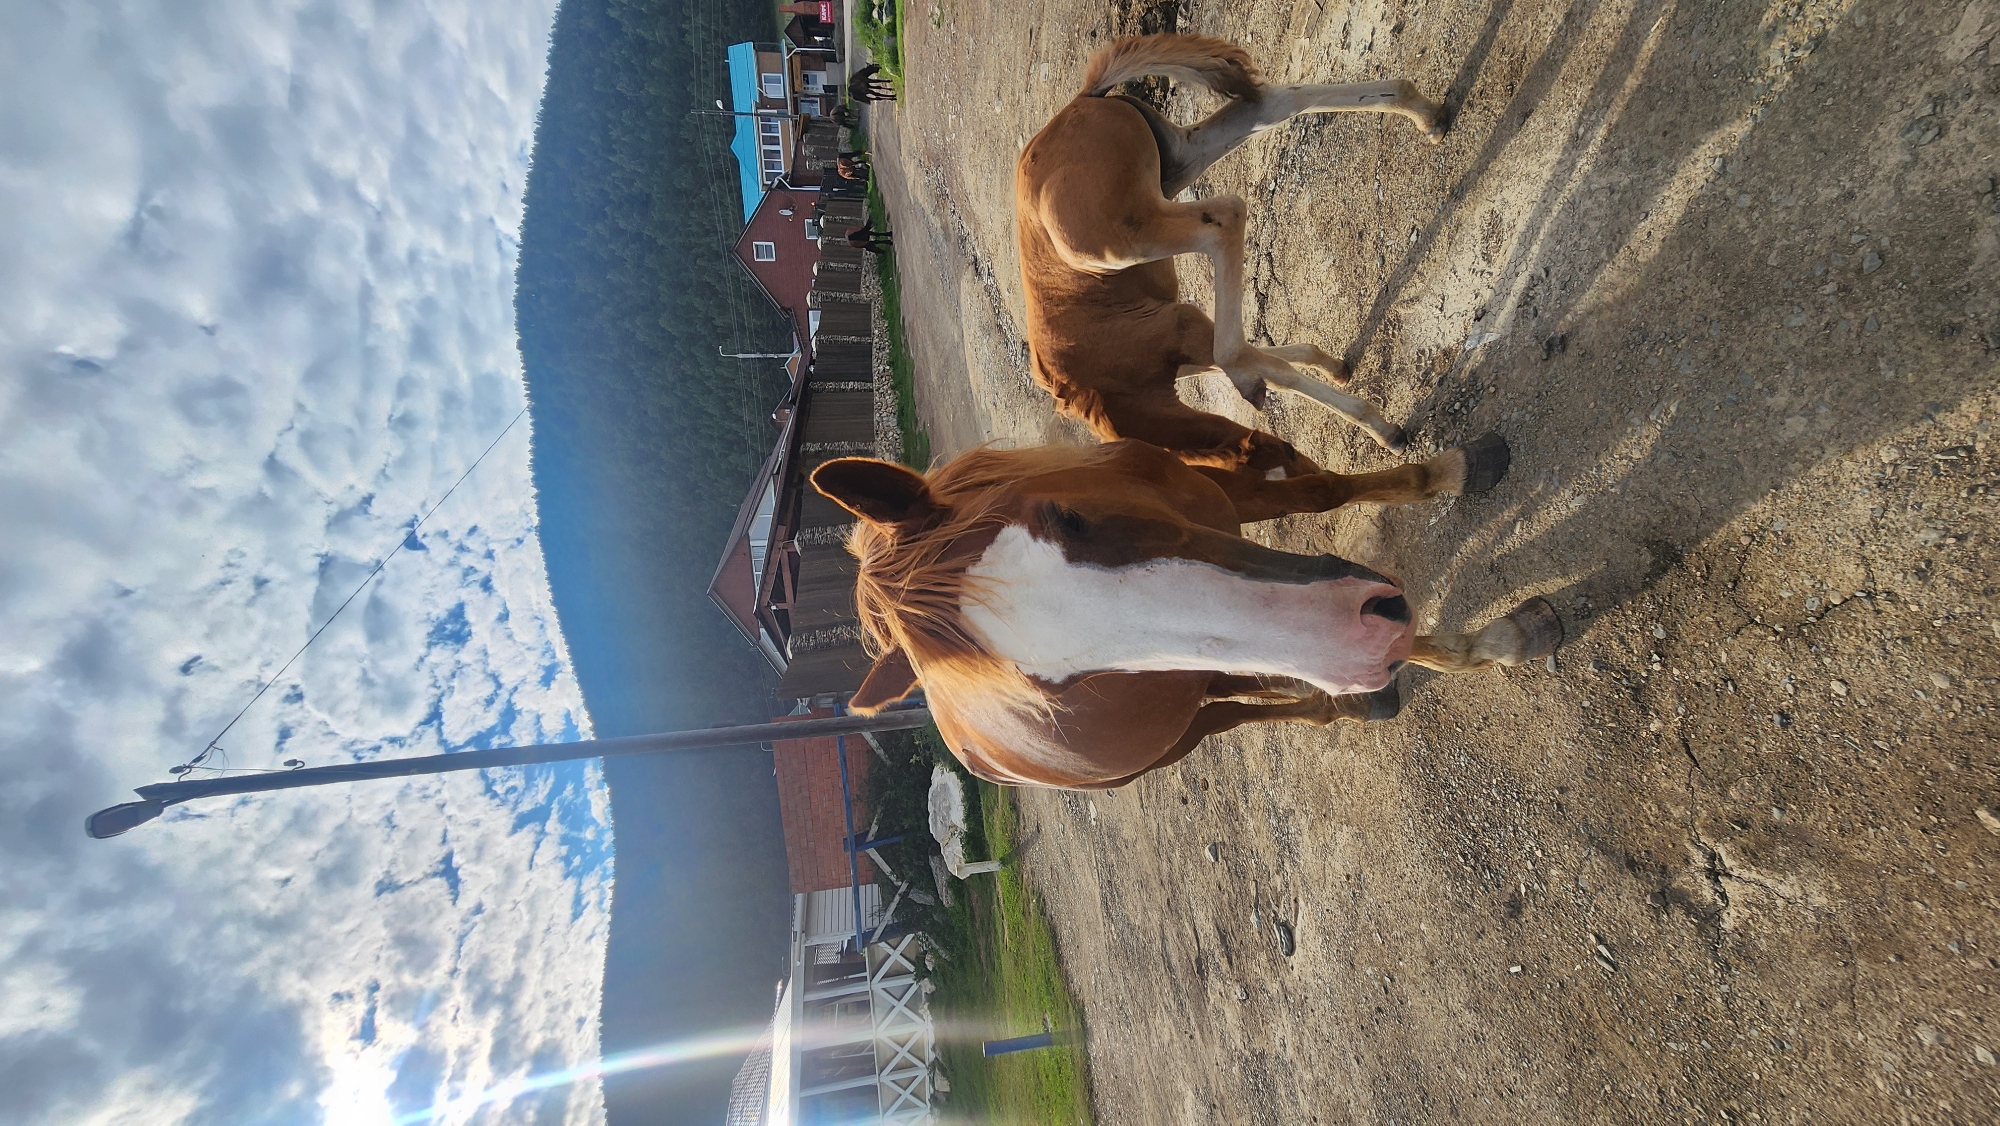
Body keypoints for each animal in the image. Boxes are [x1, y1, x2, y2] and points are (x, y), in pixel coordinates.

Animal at [811, 440, 1560, 790]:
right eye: (1058, 684)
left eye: (1069, 517)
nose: (1358, 643)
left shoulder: (1213, 495)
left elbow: (1321, 492)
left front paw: (1452, 476)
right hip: (1182, 730)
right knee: (1243, 705)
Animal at [1017, 34, 1469, 523]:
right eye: (1288, 456)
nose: (1322, 486)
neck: (1101, 387)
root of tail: (1081, 102)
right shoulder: (1192, 350)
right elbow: (1272, 362)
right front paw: (1333, 367)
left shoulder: (1185, 329)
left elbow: (1251, 358)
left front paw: (1381, 426)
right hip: (1178, 162)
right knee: (1274, 103)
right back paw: (1425, 112)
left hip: (1123, 242)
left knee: (1225, 219)